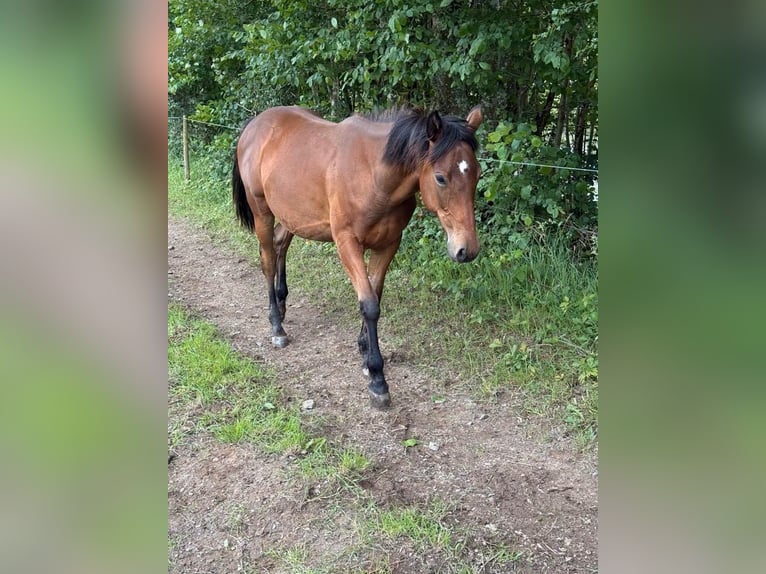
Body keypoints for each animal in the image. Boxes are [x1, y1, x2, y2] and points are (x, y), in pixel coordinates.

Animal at [232, 105, 483, 408]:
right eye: (441, 178)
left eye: (477, 175)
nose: (466, 249)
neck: (373, 175)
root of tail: (255, 125)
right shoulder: (347, 243)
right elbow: (370, 304)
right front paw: (377, 377)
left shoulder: (388, 244)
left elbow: (375, 293)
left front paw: (364, 350)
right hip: (262, 212)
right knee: (268, 260)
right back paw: (276, 327)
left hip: (292, 216)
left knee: (281, 245)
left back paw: (281, 305)